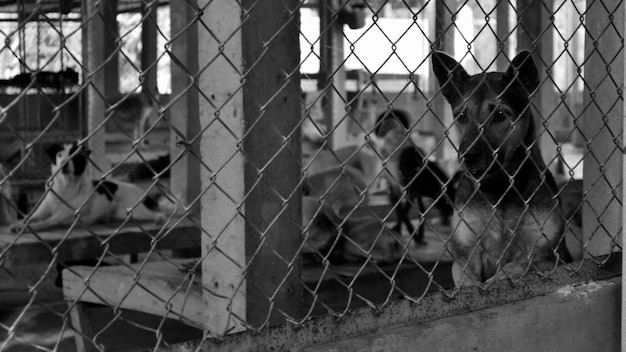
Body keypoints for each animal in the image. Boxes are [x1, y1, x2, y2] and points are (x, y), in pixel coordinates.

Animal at [10, 142, 166, 232]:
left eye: (75, 156)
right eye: (59, 155)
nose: (64, 164)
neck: (65, 188)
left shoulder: (60, 216)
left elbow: (44, 222)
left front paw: (30, 227)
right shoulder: (42, 211)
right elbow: (31, 217)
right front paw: (19, 223)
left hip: (136, 211)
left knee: (155, 214)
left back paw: (158, 218)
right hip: (122, 213)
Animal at [432, 49, 568, 286]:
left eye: (500, 115)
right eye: (461, 115)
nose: (468, 156)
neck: (499, 185)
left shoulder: (548, 257)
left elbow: (519, 265)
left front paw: (500, 278)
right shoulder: (464, 259)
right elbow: (467, 282)